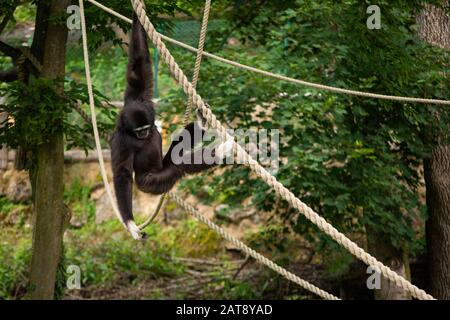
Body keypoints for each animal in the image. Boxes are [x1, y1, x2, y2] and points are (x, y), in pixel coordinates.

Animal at [110, 13, 223, 239]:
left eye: (145, 128)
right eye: (139, 131)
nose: (145, 133)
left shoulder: (141, 101)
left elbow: (138, 67)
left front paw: (137, 16)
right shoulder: (120, 140)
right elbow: (122, 173)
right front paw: (131, 223)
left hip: (164, 162)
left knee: (179, 146)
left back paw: (202, 124)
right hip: (150, 182)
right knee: (179, 166)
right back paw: (224, 152)